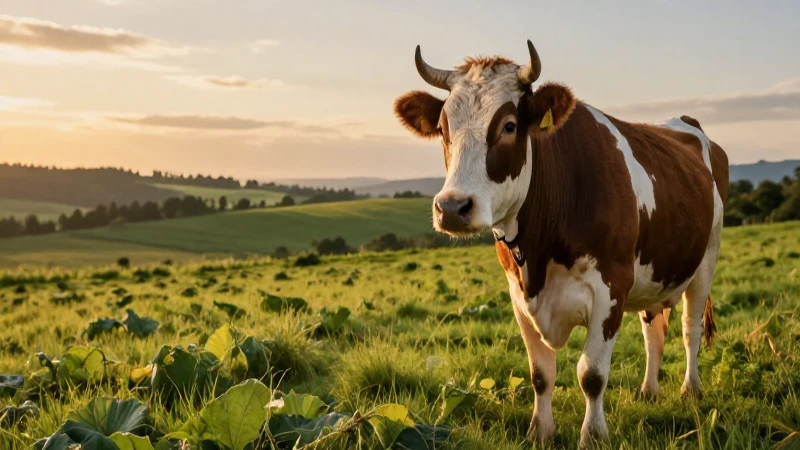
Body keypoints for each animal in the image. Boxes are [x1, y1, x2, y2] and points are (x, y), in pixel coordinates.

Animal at [393, 41, 728, 448]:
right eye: (443, 129)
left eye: (509, 126)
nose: (453, 208)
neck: (538, 250)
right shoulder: (518, 295)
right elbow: (541, 373)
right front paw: (540, 431)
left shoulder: (611, 288)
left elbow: (591, 374)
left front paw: (593, 435)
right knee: (653, 332)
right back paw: (649, 391)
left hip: (706, 260)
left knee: (689, 327)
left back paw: (690, 389)